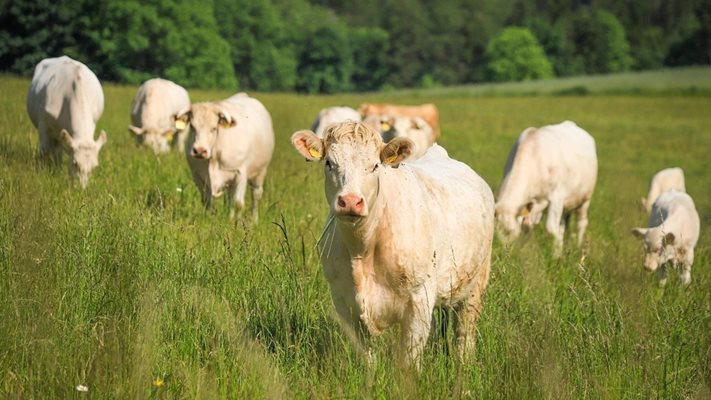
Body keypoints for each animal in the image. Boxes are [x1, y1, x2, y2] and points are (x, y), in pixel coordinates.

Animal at [26, 55, 108, 188]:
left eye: (95, 167)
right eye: (75, 163)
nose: (82, 189)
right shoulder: (43, 124)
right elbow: (45, 150)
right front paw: (44, 173)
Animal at [178, 92, 276, 220]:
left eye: (214, 128)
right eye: (192, 127)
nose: (199, 150)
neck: (214, 157)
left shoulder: (240, 174)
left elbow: (238, 203)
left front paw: (237, 224)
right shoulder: (198, 176)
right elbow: (207, 201)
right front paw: (209, 220)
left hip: (260, 173)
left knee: (256, 196)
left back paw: (254, 220)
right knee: (230, 199)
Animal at [290, 121, 496, 368]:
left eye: (375, 166)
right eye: (329, 163)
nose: (350, 201)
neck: (362, 249)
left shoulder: (419, 300)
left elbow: (409, 360)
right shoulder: (343, 300)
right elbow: (367, 357)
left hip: (476, 285)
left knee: (464, 334)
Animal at [496, 120, 600, 255]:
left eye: (509, 231)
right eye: (496, 235)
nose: (506, 253)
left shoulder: (557, 197)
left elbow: (550, 228)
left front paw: (556, 255)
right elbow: (528, 227)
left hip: (585, 199)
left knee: (581, 223)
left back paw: (578, 247)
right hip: (566, 207)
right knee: (562, 226)